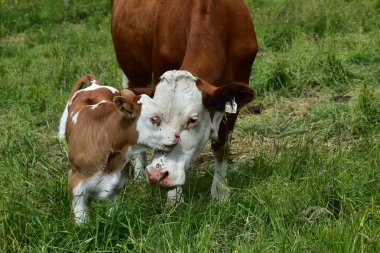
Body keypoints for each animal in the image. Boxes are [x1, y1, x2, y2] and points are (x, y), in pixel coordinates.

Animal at [58, 74, 180, 223]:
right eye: (154, 119)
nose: (177, 135)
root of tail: (94, 85)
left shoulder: (117, 187)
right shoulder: (77, 185)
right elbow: (81, 220)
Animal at [110, 0, 258, 202]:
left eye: (193, 120)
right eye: (156, 119)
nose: (156, 175)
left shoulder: (236, 87)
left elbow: (222, 146)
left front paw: (220, 192)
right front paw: (174, 199)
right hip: (131, 74)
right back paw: (139, 173)